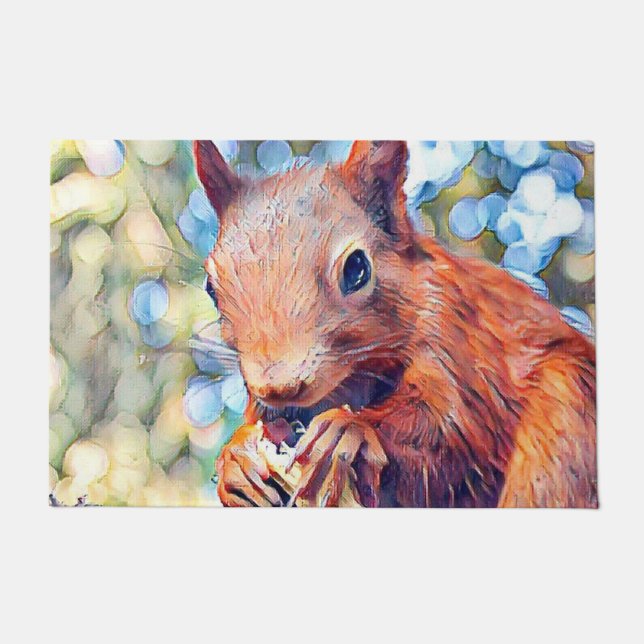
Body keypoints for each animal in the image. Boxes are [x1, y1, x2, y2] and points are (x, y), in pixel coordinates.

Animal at [194, 140, 597, 508]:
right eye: (211, 287)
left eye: (357, 268)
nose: (279, 387)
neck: (352, 378)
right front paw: (236, 460)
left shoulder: (457, 341)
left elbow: (454, 434)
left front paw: (352, 429)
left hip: (567, 419)